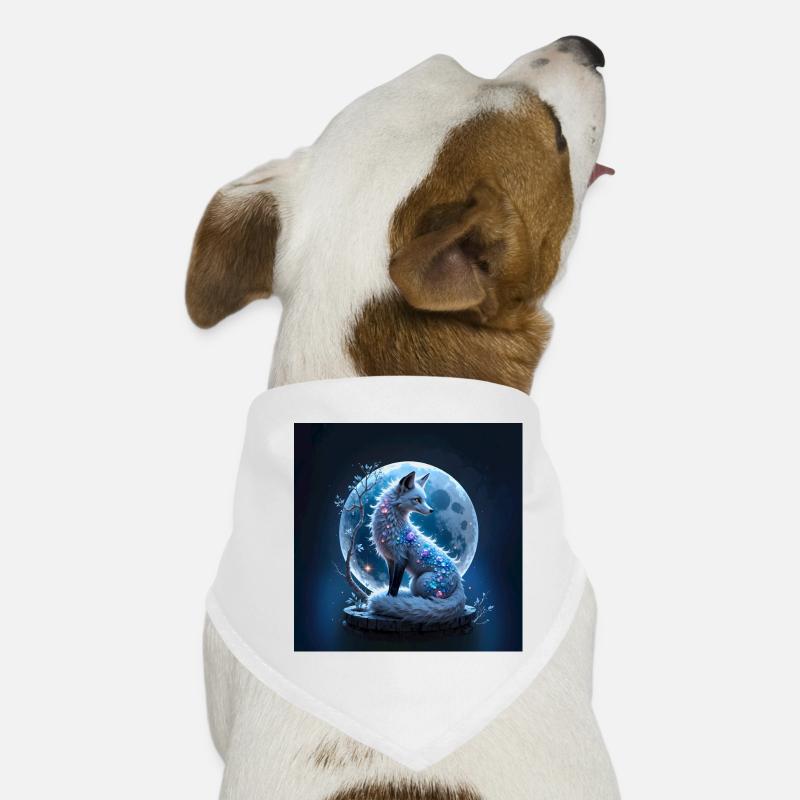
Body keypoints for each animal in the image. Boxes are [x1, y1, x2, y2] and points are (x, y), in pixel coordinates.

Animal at [366, 470, 467, 623]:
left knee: (430, 602)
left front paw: (390, 602)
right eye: (417, 499)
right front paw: (388, 598)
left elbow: (395, 586)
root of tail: (459, 580)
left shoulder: (401, 558)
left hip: (421, 582)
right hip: (414, 583)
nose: (431, 510)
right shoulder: (390, 560)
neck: (392, 527)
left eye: (424, 499)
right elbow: (391, 584)